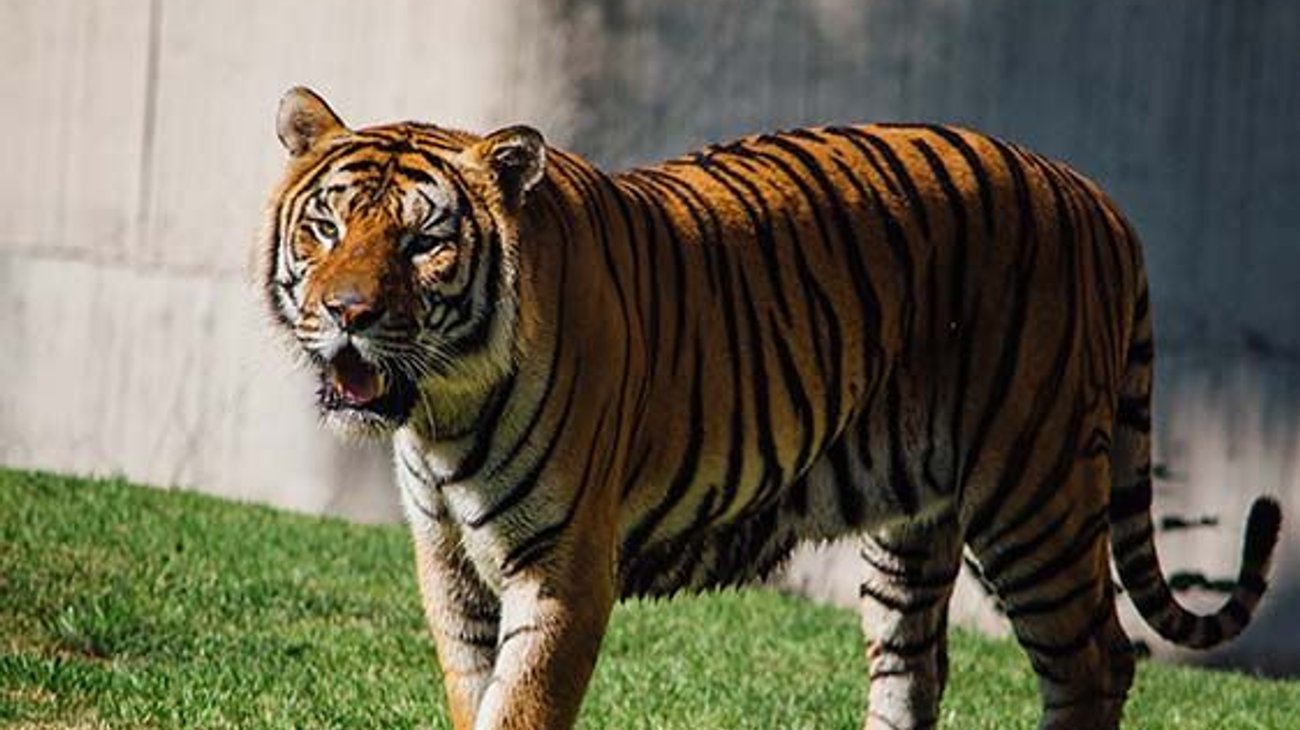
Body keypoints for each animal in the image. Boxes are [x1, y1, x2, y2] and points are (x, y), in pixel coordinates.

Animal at [261, 86, 1281, 730]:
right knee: (914, 668)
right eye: (326, 227)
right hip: (911, 524)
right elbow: (474, 698)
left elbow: (521, 708)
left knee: (1096, 662)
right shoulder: (448, 566)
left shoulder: (562, 572)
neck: (441, 412)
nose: (347, 315)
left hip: (1037, 491)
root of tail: (1096, 195)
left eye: (425, 243)